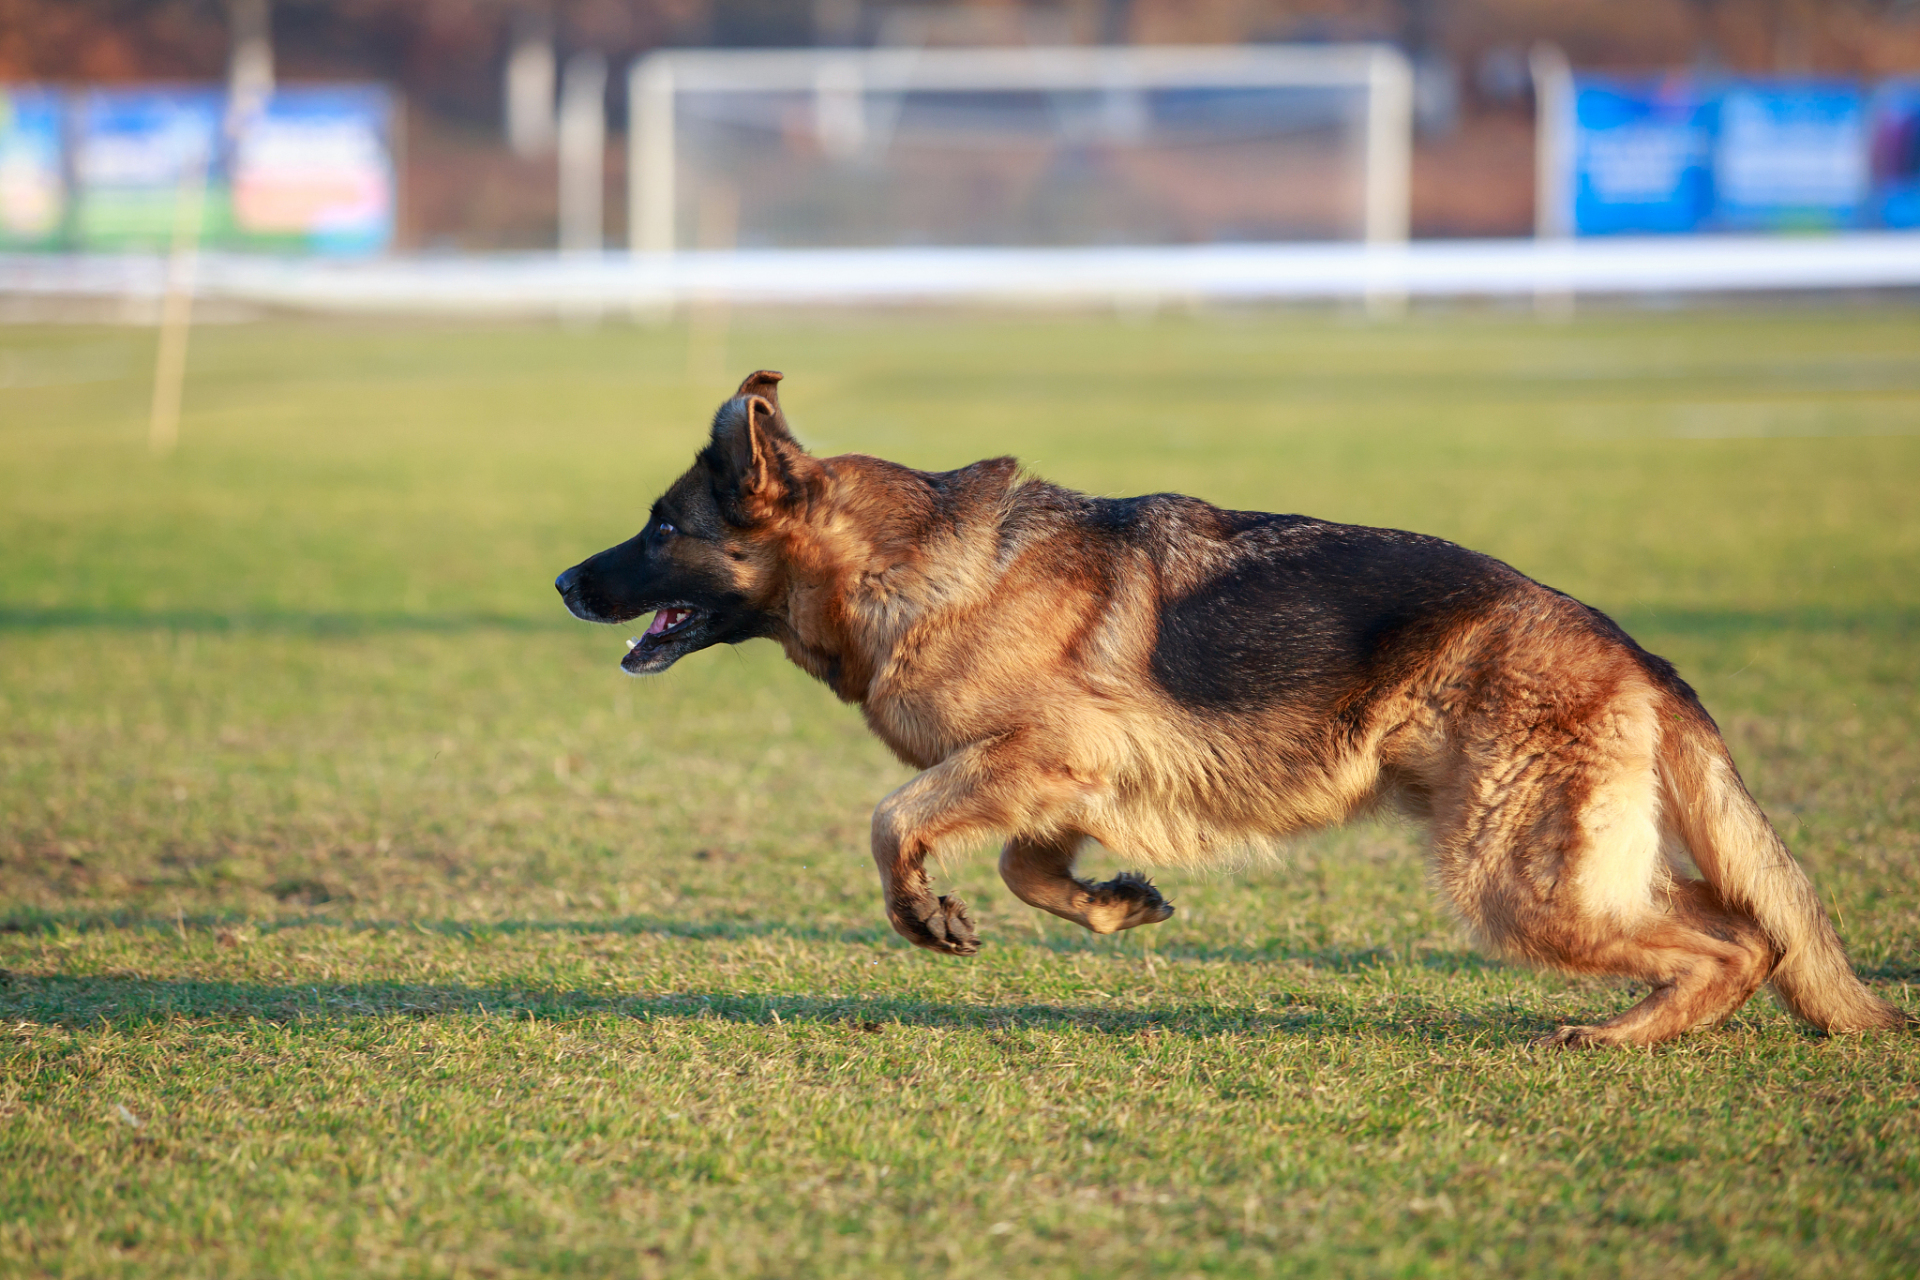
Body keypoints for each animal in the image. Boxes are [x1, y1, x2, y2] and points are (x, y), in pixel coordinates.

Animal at [556, 370, 1904, 1051]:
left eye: (662, 528)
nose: (564, 582)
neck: (910, 563)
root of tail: (1632, 649)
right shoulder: (1066, 778)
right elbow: (1028, 868)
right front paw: (1113, 905)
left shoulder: (1036, 752)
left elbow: (894, 820)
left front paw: (924, 915)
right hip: (1572, 862)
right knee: (1745, 929)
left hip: (1519, 874)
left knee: (1734, 942)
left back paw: (1621, 1037)